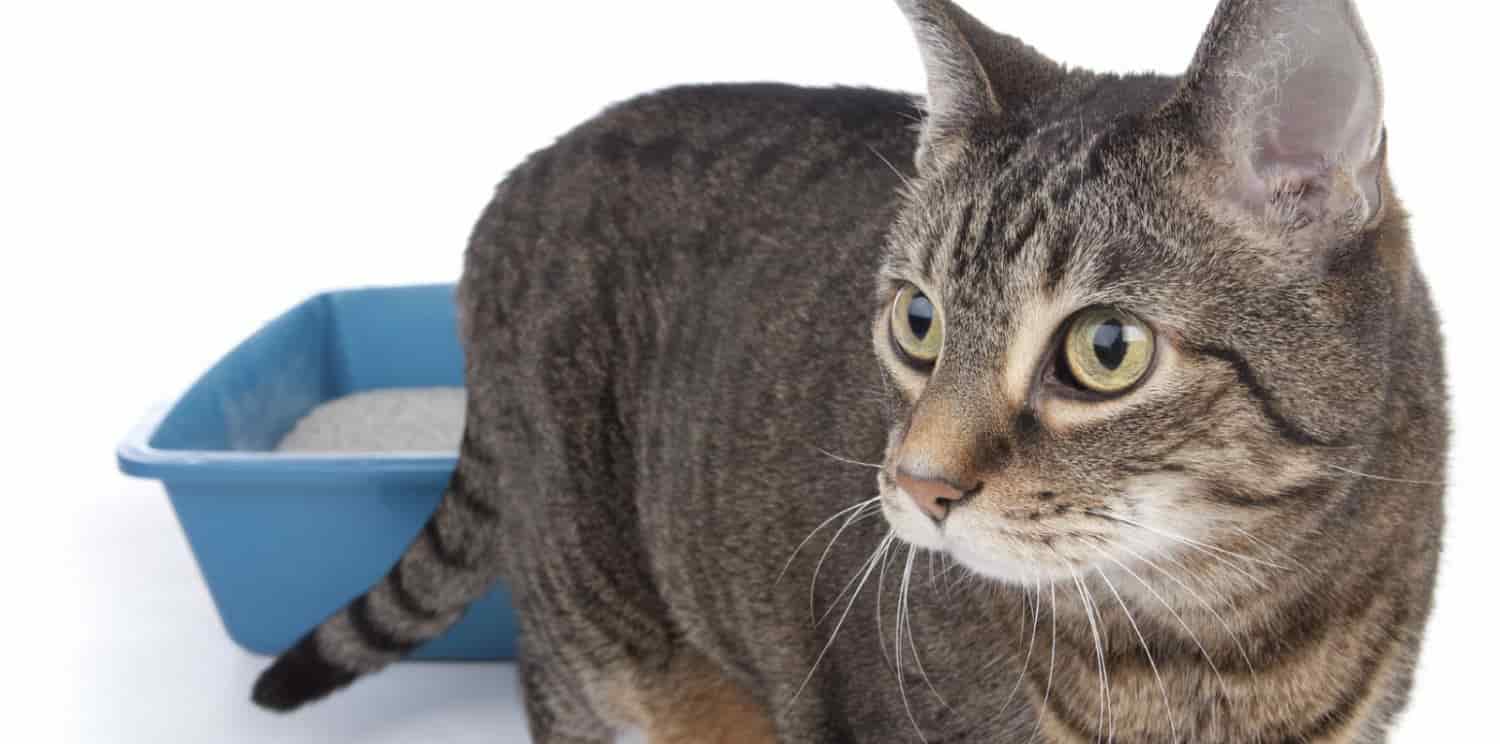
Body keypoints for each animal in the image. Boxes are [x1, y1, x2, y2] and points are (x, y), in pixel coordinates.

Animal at [252, 0, 1446, 741]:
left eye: (1105, 350)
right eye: (919, 323)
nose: (916, 484)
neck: (1219, 646)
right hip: (595, 610)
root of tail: (521, 175)